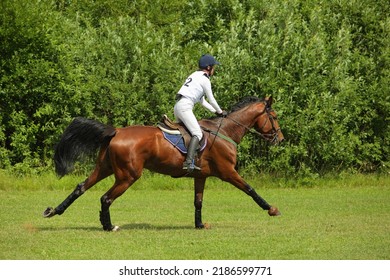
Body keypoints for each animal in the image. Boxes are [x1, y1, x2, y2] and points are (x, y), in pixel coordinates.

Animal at [44, 95, 284, 231]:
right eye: (274, 116)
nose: (280, 139)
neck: (225, 131)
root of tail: (117, 131)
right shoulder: (228, 172)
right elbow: (250, 189)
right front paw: (271, 209)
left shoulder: (201, 176)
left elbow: (198, 202)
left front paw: (199, 225)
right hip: (127, 176)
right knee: (106, 198)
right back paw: (109, 226)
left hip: (104, 168)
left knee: (80, 187)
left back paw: (54, 211)